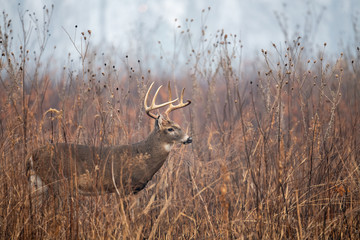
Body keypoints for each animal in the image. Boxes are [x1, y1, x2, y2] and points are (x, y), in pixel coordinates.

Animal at [26, 82, 191, 199]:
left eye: (179, 125)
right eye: (170, 129)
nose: (189, 138)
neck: (143, 156)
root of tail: (32, 156)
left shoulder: (134, 190)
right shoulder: (122, 186)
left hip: (38, 184)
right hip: (56, 181)